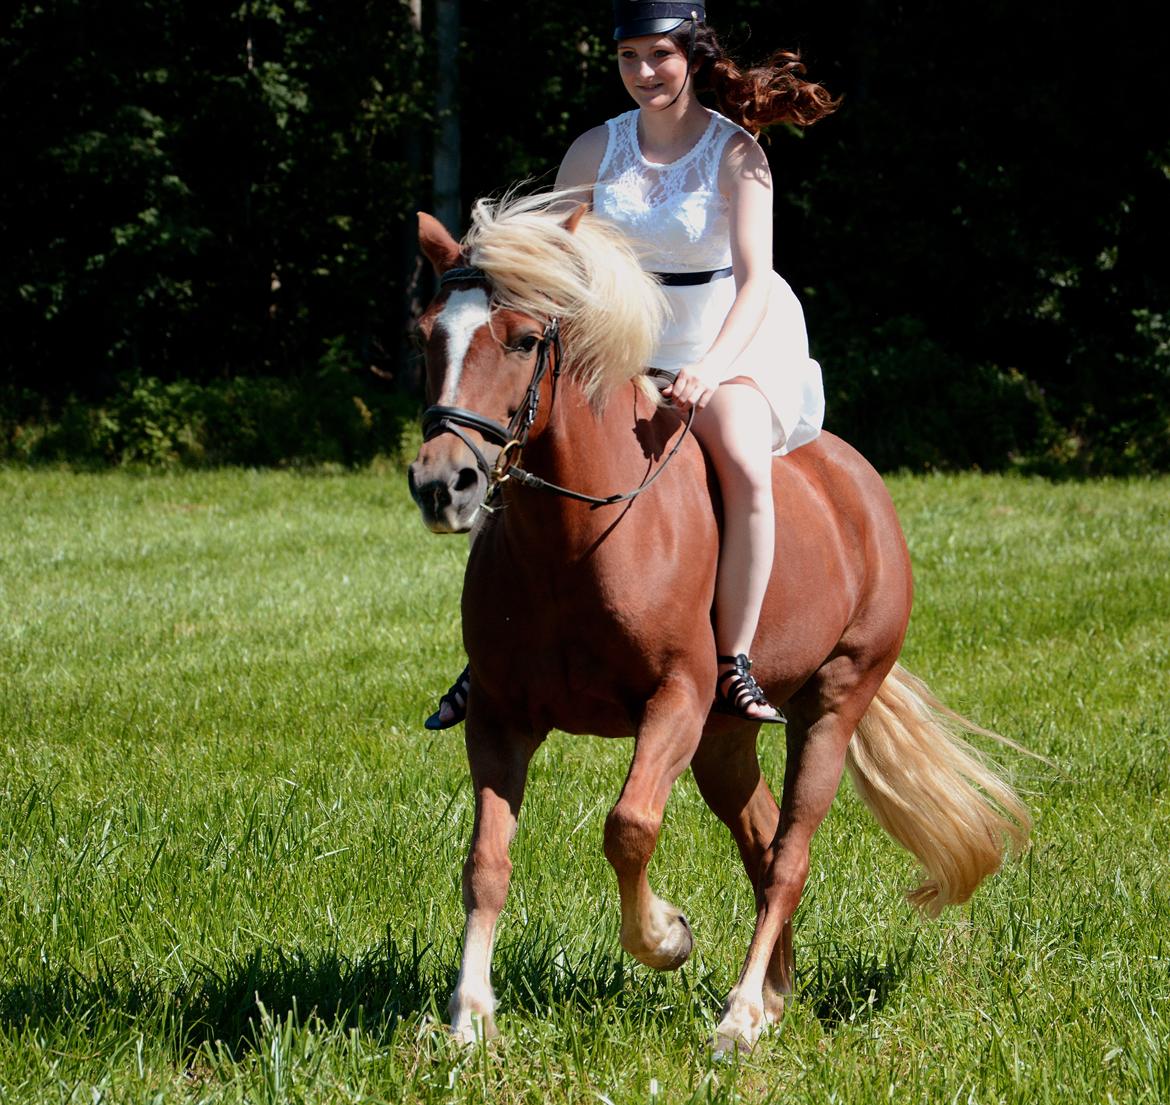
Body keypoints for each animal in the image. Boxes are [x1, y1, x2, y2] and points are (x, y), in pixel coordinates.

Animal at [407, 191, 1029, 1053]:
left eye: (525, 339)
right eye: (428, 334)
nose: (444, 484)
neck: (573, 542)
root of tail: (860, 485)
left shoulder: (674, 700)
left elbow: (630, 825)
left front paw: (666, 936)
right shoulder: (501, 715)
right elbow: (485, 861)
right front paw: (469, 1017)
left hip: (828, 705)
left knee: (790, 853)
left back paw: (738, 1016)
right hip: (723, 738)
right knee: (763, 840)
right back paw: (771, 995)